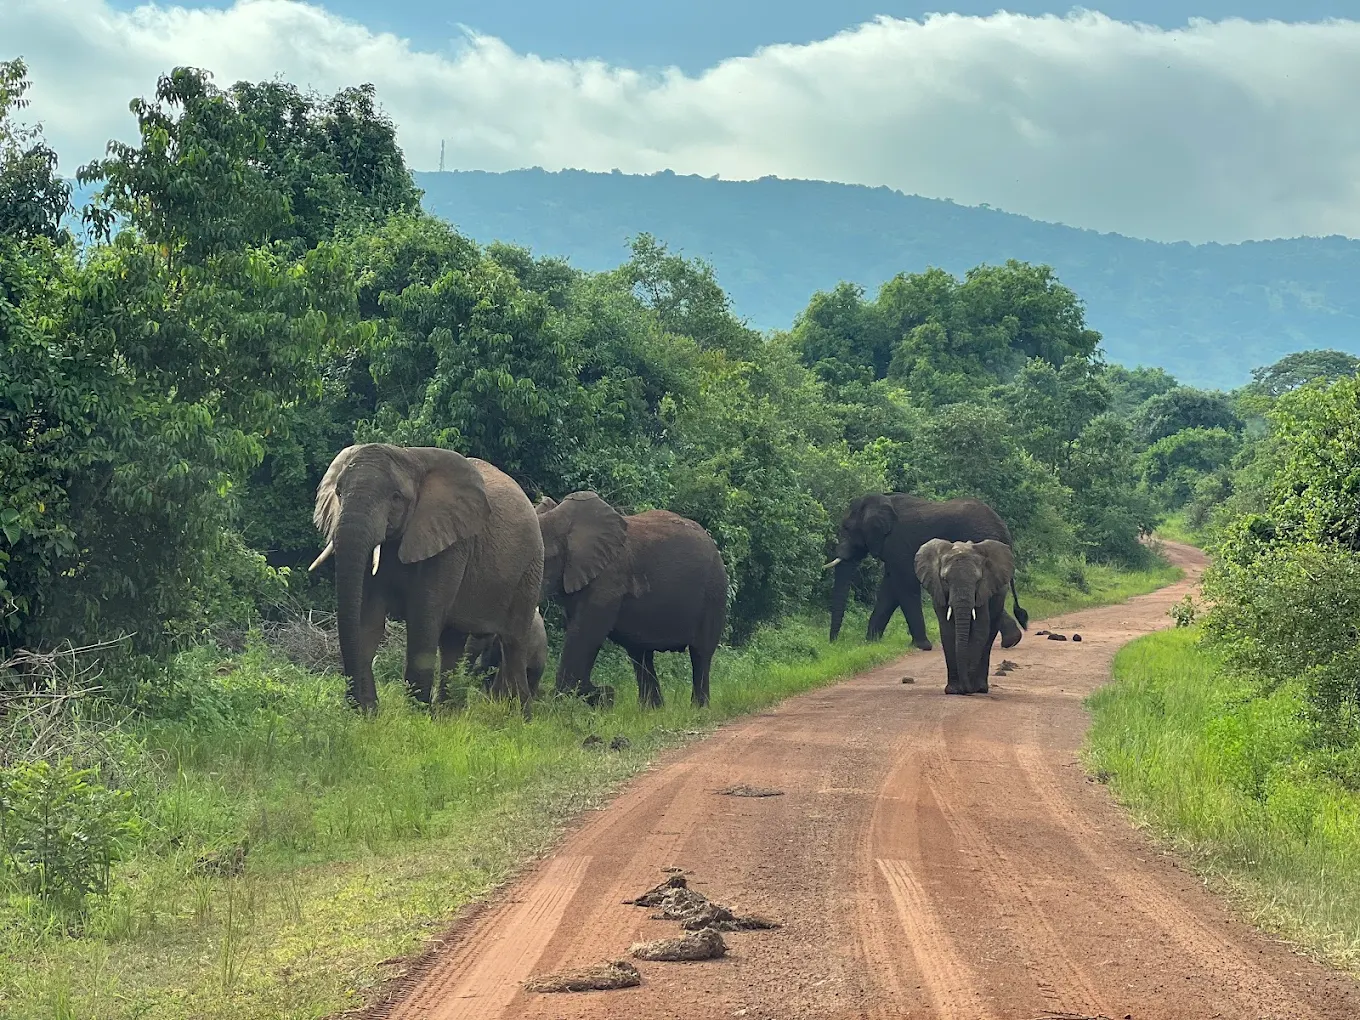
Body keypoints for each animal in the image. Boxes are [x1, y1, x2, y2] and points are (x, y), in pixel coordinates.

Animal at [309, 443, 544, 716]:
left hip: (529, 569)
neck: (409, 457)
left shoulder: (451, 543)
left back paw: (519, 716)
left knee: (514, 642)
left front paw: (416, 716)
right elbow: (368, 621)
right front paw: (367, 713)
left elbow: (423, 619)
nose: (353, 704)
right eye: (338, 492)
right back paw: (449, 714)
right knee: (454, 641)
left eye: (396, 497)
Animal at [535, 492, 727, 709]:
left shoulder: (609, 579)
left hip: (714, 591)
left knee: (701, 653)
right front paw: (598, 696)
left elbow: (585, 633)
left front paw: (589, 698)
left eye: (548, 557)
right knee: (640, 654)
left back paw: (698, 709)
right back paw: (651, 710)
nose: (606, 689)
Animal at [826, 493, 1028, 651]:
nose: (834, 644)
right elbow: (889, 590)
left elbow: (904, 585)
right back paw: (1011, 641)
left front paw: (921, 646)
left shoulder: (899, 543)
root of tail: (1003, 528)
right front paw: (870, 643)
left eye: (846, 528)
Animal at [914, 539, 1015, 695]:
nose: (966, 689)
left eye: (978, 580)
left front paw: (969, 688)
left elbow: (980, 629)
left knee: (989, 637)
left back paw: (980, 688)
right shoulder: (939, 592)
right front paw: (953, 690)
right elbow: (948, 631)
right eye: (945, 580)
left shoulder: (983, 591)